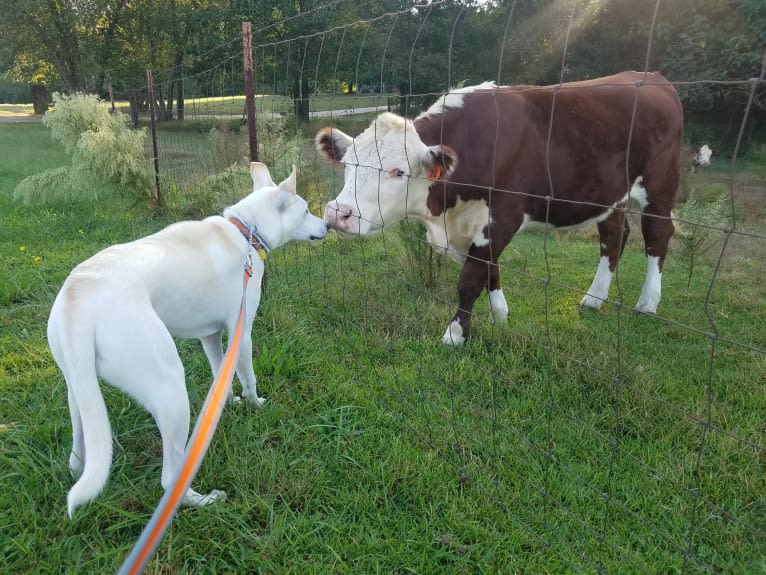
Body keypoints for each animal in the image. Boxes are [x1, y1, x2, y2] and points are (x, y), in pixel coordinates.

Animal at [47, 161, 330, 516]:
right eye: (306, 210)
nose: (329, 225)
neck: (245, 233)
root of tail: (79, 297)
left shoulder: (211, 335)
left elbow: (221, 374)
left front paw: (225, 405)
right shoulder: (243, 332)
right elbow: (248, 377)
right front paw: (255, 405)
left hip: (79, 391)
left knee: (79, 456)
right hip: (169, 388)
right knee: (169, 478)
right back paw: (203, 500)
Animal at [316, 70, 684, 344]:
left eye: (398, 172)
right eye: (347, 164)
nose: (338, 213)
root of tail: (651, 76)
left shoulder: (503, 216)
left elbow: (470, 278)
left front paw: (455, 334)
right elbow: (489, 269)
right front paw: (500, 315)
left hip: (659, 185)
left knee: (657, 235)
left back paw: (647, 303)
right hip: (609, 194)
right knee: (614, 235)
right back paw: (594, 299)